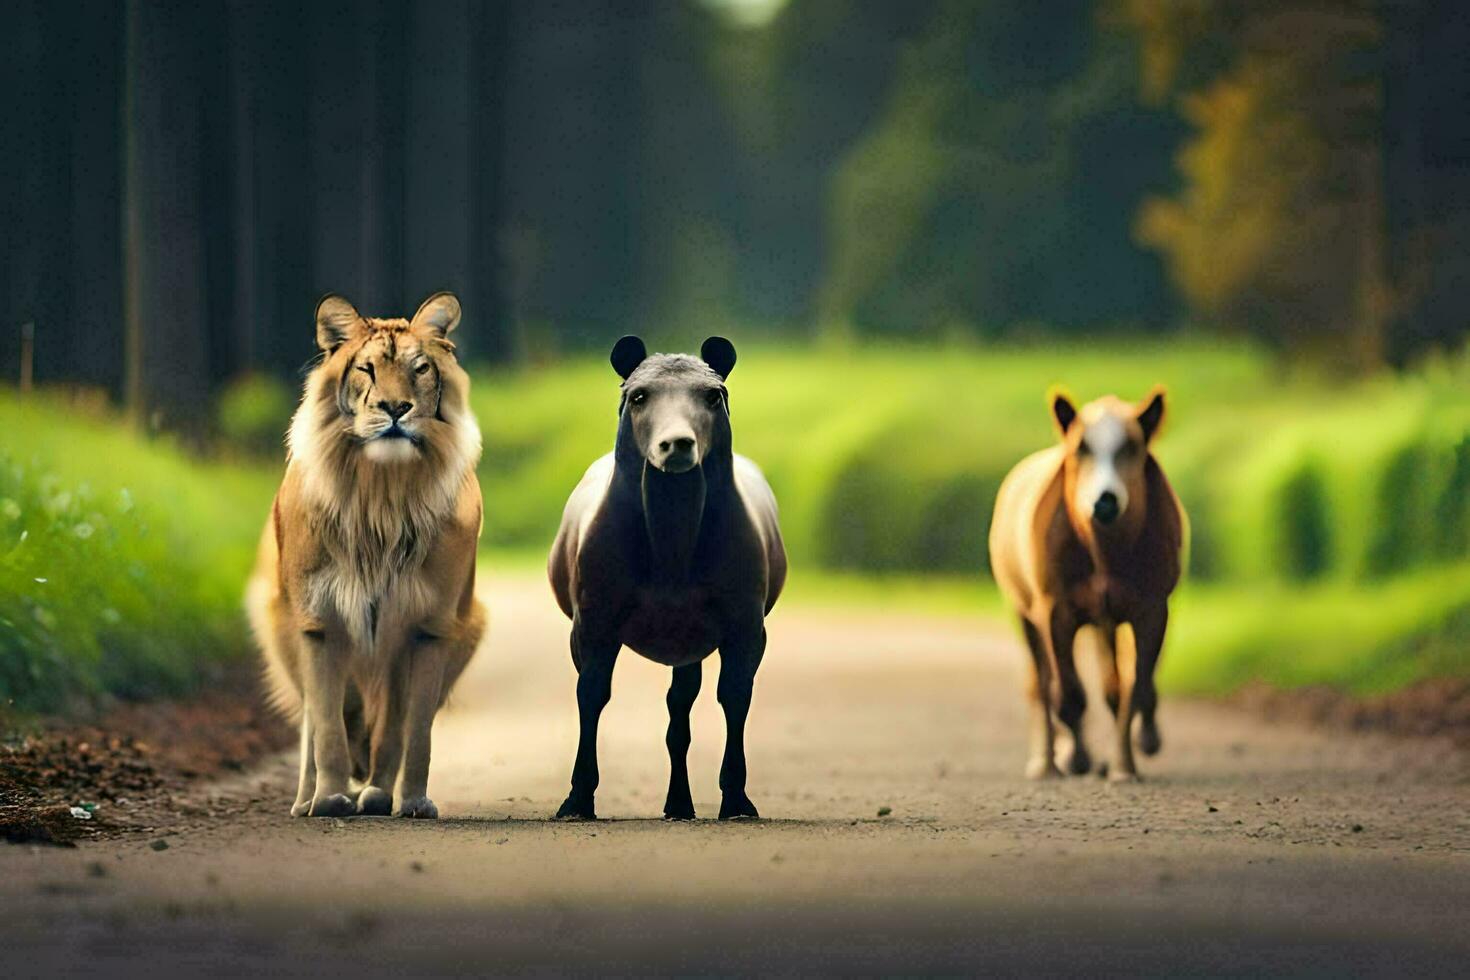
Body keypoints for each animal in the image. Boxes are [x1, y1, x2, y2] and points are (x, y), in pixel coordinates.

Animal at [246, 290, 485, 822]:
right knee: (315, 721)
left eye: (420, 368)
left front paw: (410, 800)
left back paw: (376, 792)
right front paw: (330, 799)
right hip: (284, 629)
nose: (395, 408)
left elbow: (412, 731)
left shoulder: (428, 627)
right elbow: (329, 727)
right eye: (367, 369)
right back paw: (305, 800)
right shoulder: (320, 622)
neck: (383, 496)